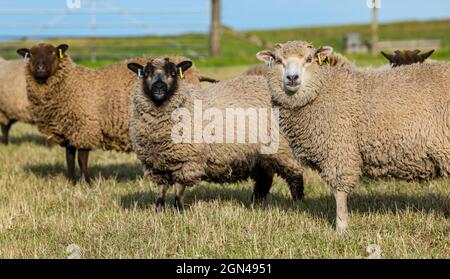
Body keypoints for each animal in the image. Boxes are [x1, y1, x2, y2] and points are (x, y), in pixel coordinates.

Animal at [15, 42, 205, 185]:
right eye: (30, 55)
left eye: (53, 52)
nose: (40, 67)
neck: (71, 83)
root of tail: (196, 72)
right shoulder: (69, 130)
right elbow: (69, 157)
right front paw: (71, 181)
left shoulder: (85, 128)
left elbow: (82, 158)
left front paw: (86, 183)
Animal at [256, 41, 450, 234]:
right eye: (278, 60)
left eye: (309, 59)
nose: (292, 78)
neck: (322, 89)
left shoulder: (339, 149)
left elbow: (339, 191)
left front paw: (341, 228)